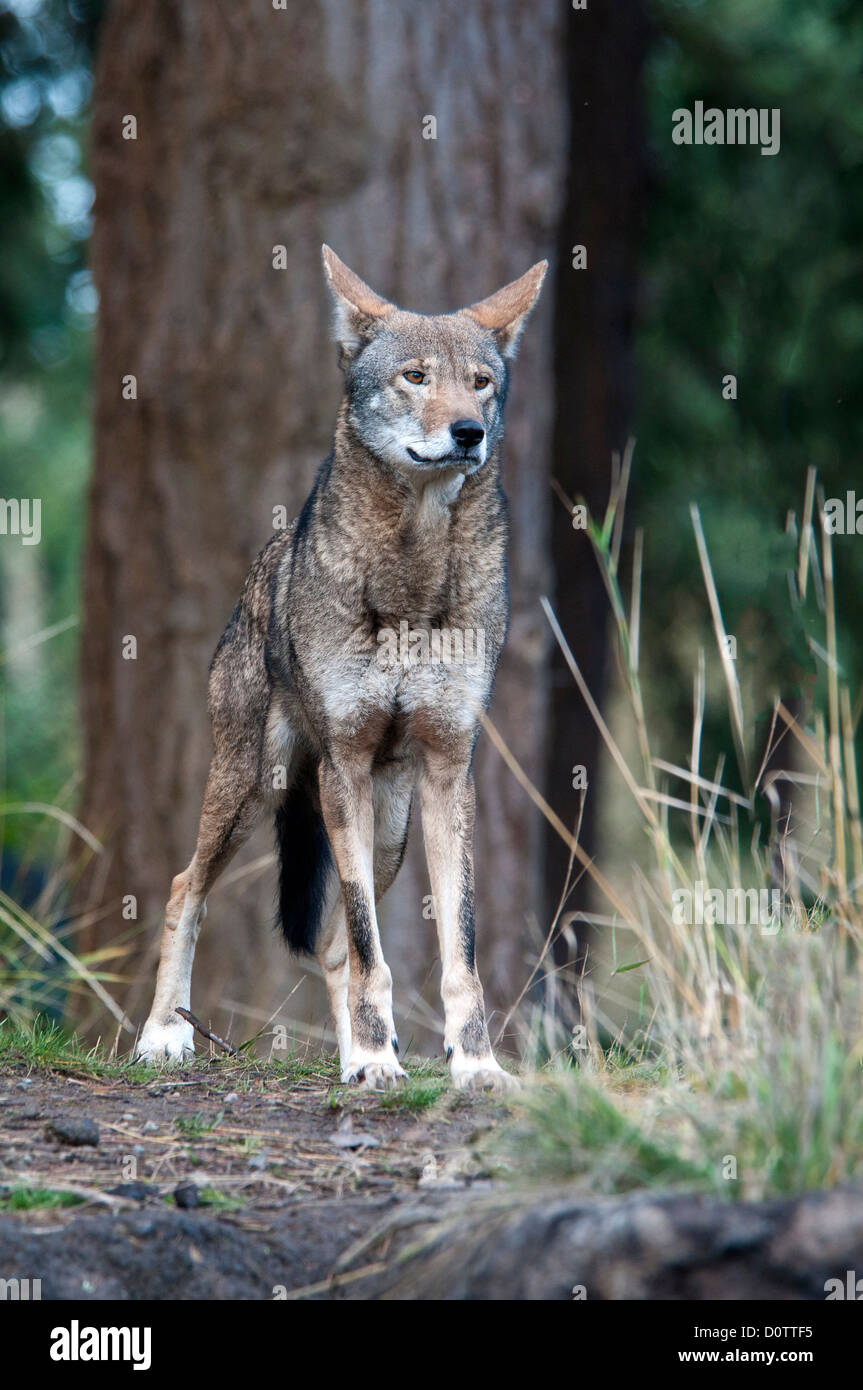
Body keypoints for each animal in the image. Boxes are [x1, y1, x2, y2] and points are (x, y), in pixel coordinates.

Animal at [136, 246, 546, 1091]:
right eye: (415, 377)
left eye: (480, 382)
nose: (468, 432)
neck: (410, 580)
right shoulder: (344, 766)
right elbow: (366, 940)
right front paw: (378, 1058)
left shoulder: (447, 768)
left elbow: (451, 947)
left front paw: (473, 1065)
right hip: (253, 788)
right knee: (184, 888)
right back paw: (164, 1036)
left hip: (386, 828)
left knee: (332, 946)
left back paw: (363, 1051)